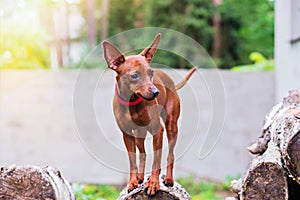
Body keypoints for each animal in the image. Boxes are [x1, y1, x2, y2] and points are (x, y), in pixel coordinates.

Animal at [103, 34, 197, 195]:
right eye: (134, 75)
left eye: (151, 73)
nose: (156, 92)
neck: (132, 102)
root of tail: (172, 83)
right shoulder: (127, 135)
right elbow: (132, 161)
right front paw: (133, 181)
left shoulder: (158, 131)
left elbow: (156, 161)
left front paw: (153, 183)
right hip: (139, 134)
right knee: (143, 154)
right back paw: (140, 177)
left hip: (171, 126)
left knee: (170, 154)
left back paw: (169, 179)